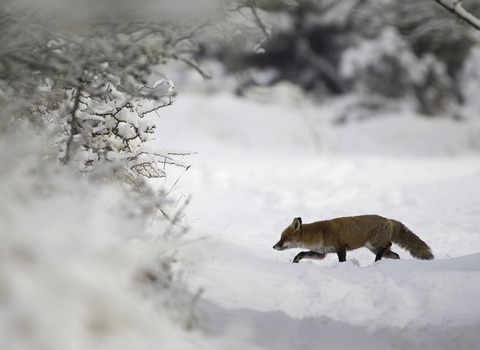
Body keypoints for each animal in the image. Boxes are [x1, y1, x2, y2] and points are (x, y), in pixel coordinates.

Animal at [274, 215, 436, 264]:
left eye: (283, 238)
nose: (274, 247)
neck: (319, 233)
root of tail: (389, 220)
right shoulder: (322, 253)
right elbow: (302, 253)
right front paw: (296, 260)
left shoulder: (341, 247)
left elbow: (342, 261)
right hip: (374, 248)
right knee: (395, 254)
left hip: (375, 244)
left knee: (389, 245)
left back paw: (378, 259)